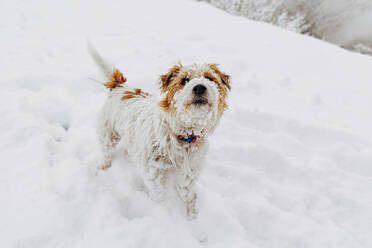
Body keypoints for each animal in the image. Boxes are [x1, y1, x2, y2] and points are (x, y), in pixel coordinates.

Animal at [90, 45, 230, 219]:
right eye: (184, 81)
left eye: (210, 79)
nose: (199, 87)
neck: (183, 134)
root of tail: (121, 87)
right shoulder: (152, 169)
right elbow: (160, 193)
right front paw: (163, 209)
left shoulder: (189, 171)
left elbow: (188, 193)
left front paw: (192, 215)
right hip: (108, 134)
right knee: (106, 152)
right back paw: (103, 166)